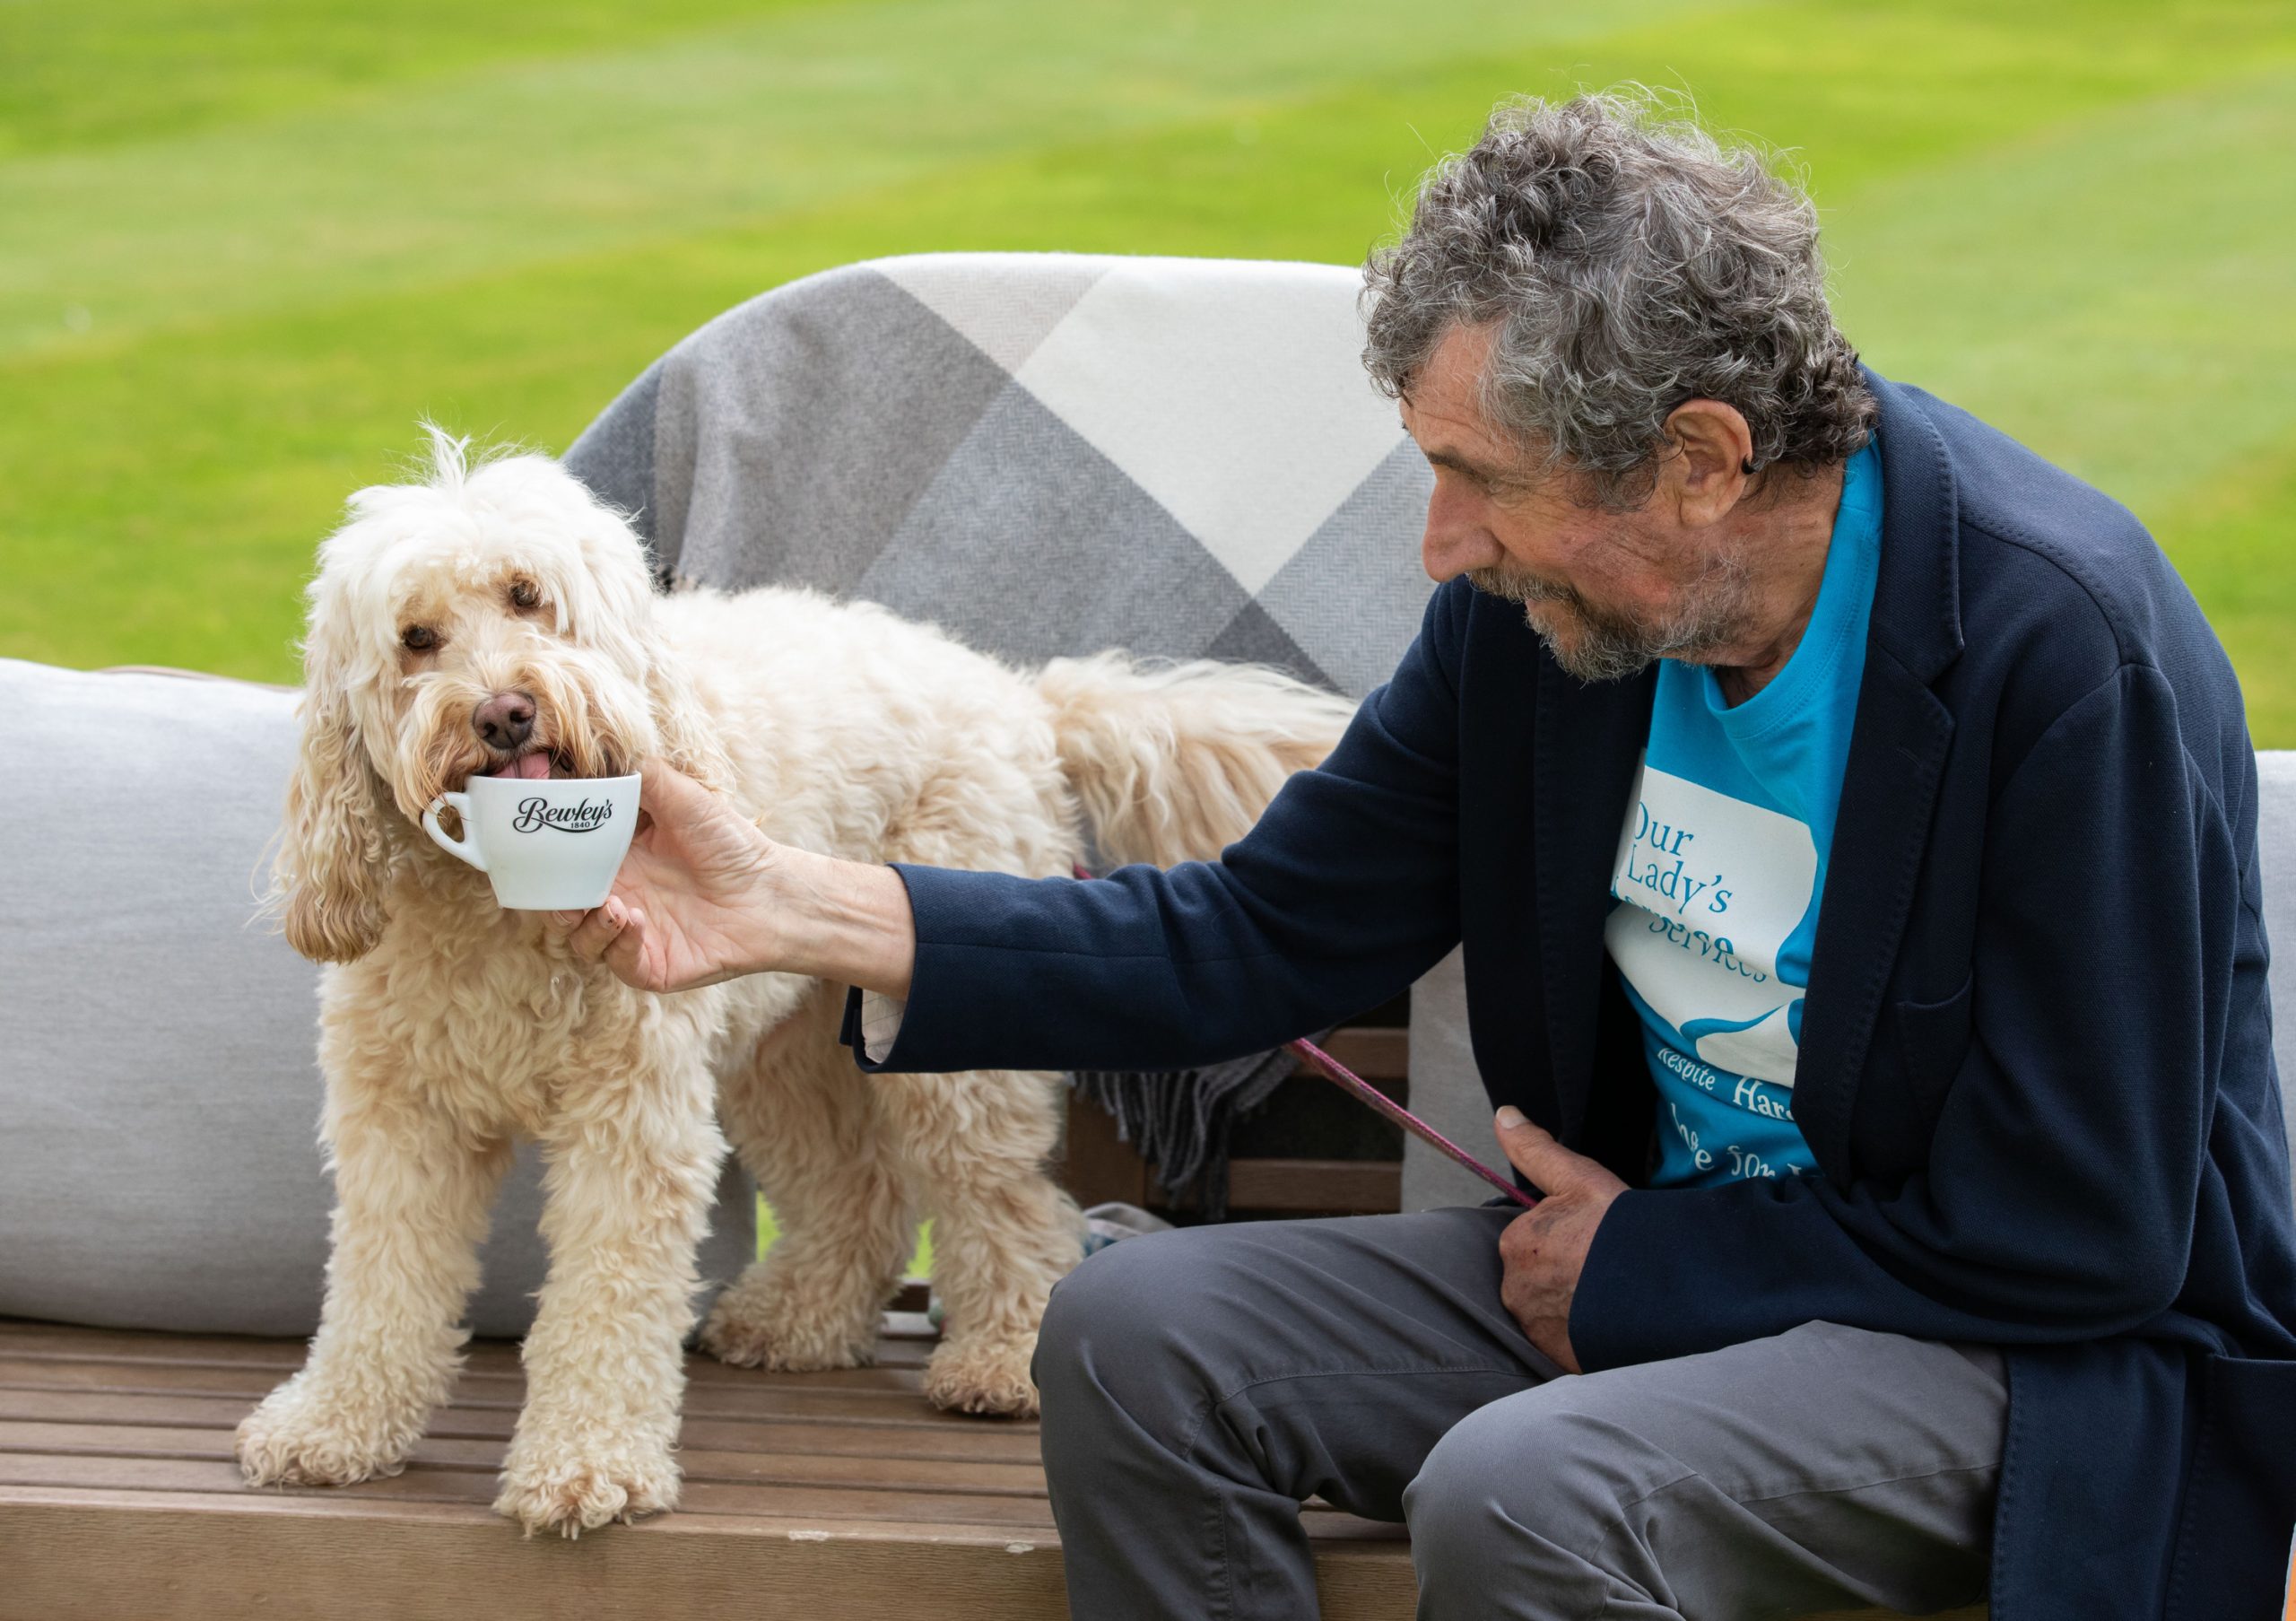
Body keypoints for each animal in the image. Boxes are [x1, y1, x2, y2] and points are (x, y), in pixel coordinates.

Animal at [232, 436, 1350, 1533]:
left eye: (528, 597)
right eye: (417, 637)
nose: (505, 711)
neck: (500, 911)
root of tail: (1021, 692)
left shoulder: (630, 1123)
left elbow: (605, 1298)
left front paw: (587, 1465)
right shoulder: (400, 1122)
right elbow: (380, 1284)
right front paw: (333, 1426)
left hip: (950, 1063)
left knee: (1005, 1199)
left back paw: (999, 1356)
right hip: (787, 1047)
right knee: (860, 1190)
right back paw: (802, 1321)